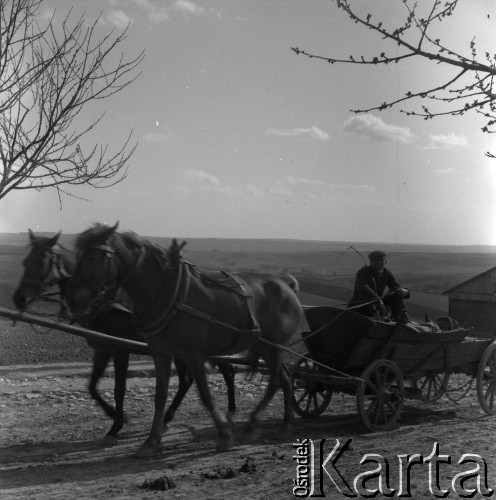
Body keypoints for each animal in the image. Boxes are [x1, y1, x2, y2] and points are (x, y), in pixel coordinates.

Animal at [11, 229, 236, 442]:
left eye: (41, 261)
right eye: (25, 261)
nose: (18, 298)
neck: (104, 304)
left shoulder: (120, 350)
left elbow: (119, 390)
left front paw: (116, 426)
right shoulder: (102, 350)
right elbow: (92, 387)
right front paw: (115, 416)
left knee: (225, 372)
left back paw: (230, 411)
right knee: (187, 381)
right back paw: (168, 418)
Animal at [64, 223, 304, 458]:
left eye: (92, 257)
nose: (72, 299)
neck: (165, 292)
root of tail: (287, 286)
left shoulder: (191, 354)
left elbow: (205, 395)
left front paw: (224, 435)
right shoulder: (161, 353)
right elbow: (159, 396)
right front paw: (151, 441)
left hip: (273, 347)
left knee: (275, 380)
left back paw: (256, 424)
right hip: (264, 347)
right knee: (285, 377)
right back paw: (285, 424)